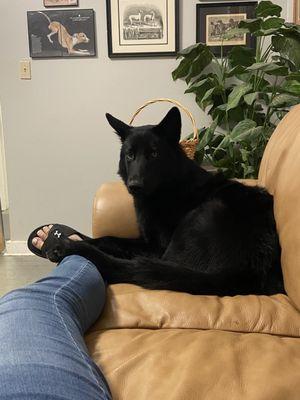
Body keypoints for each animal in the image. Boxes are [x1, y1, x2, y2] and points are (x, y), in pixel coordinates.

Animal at [45, 108, 284, 296]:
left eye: (154, 154)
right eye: (130, 155)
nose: (134, 185)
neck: (167, 187)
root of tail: (251, 267)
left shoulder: (155, 248)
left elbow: (113, 243)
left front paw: (70, 243)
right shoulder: (145, 239)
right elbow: (108, 238)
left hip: (200, 217)